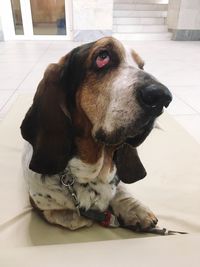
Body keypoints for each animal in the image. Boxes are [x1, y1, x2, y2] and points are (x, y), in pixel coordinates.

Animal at [21, 36, 173, 231]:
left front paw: (134, 209)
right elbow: (71, 218)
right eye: (103, 57)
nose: (163, 97)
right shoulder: (39, 204)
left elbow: (120, 189)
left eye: (141, 66)